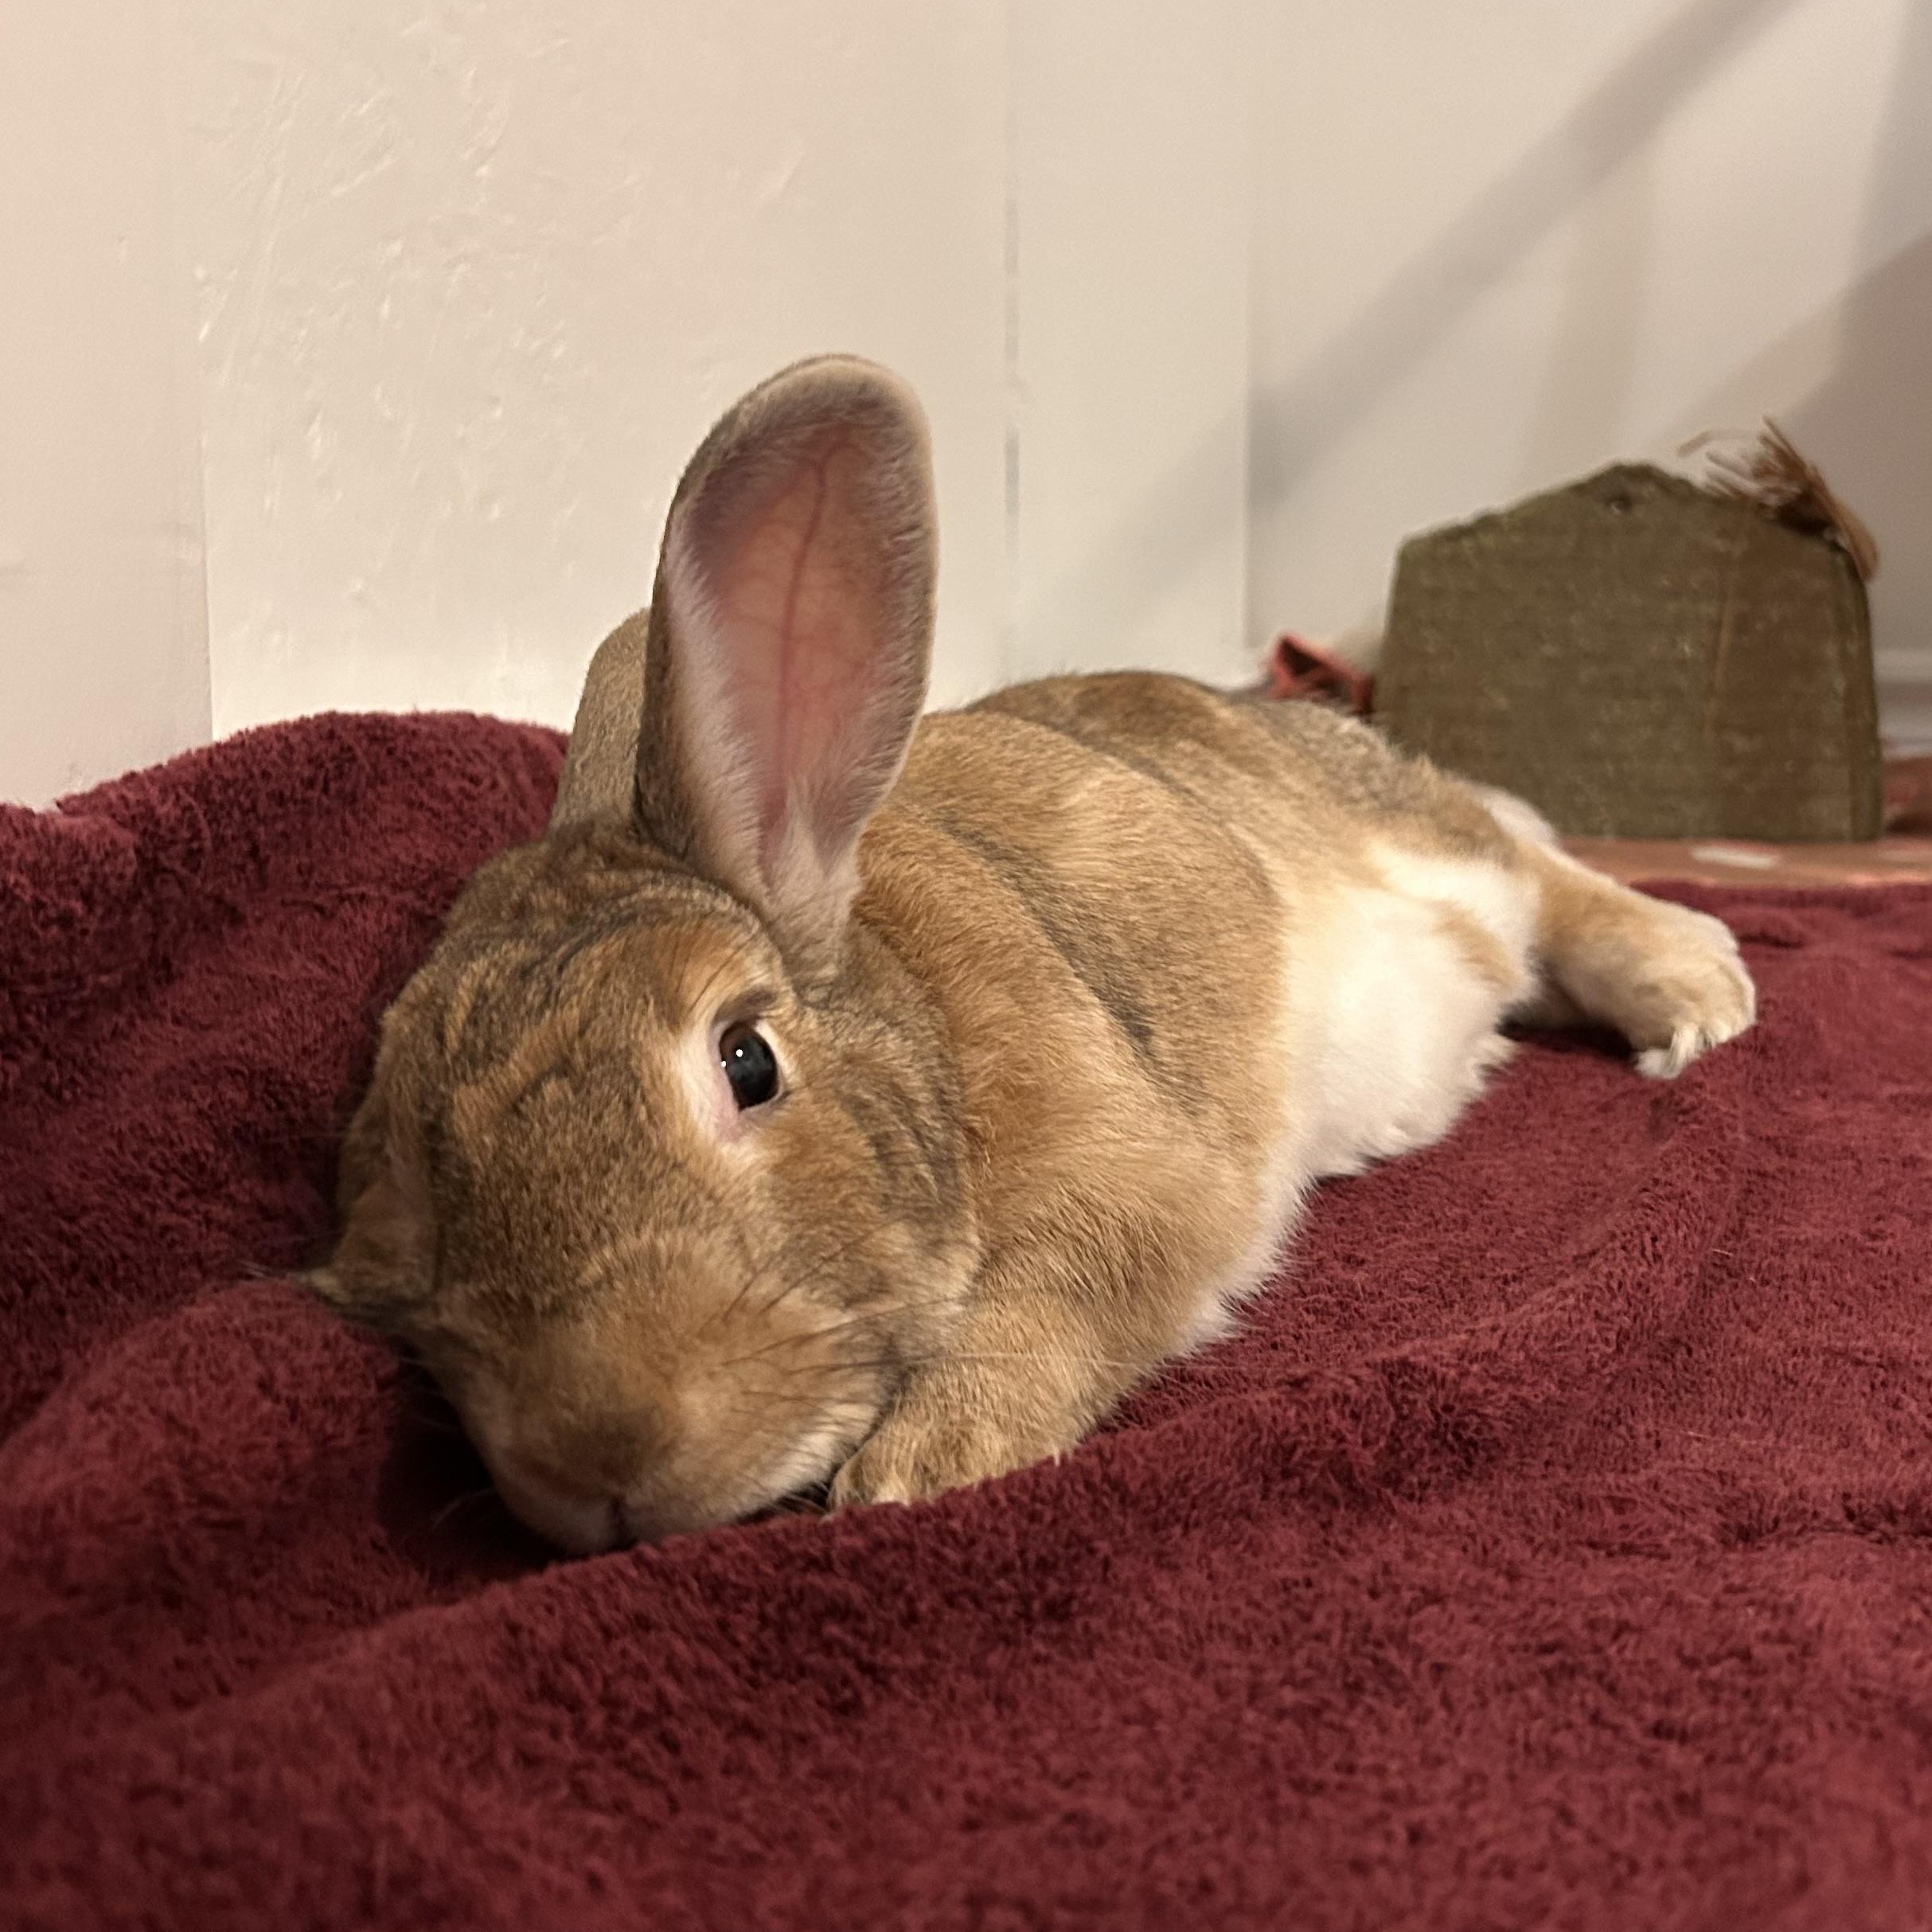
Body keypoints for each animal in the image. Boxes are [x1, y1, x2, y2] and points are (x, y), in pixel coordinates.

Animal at [309, 356, 1755, 1554]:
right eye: (399, 1180)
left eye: (746, 1060)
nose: (600, 1458)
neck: (920, 1029)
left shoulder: (1134, 1171)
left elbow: (1058, 1292)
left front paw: (922, 1466)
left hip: (1411, 839)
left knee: (1529, 861)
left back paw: (1697, 999)